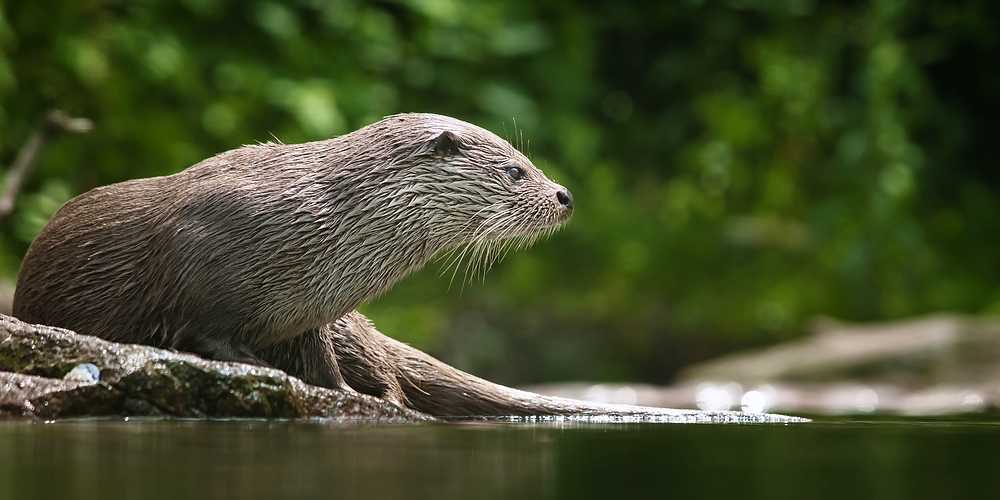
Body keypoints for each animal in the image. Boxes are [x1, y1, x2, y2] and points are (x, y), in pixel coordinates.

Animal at [11, 113, 576, 398]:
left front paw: (345, 393)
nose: (565, 194)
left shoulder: (309, 317)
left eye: (528, 163)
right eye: (516, 171)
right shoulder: (201, 261)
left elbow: (322, 365)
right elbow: (203, 336)